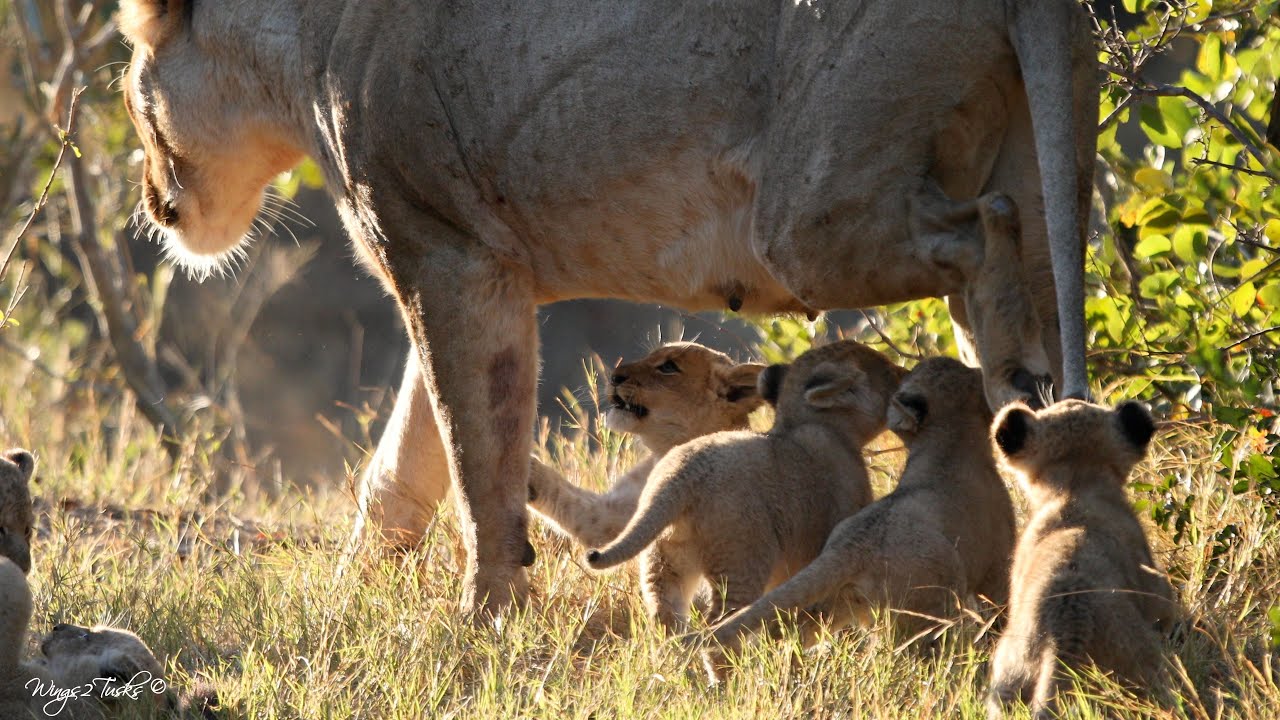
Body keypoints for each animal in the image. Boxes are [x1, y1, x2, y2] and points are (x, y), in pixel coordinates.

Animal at [584, 340, 904, 630]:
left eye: (668, 367)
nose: (614, 376)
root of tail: (684, 473)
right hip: (726, 561)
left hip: (667, 563)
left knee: (671, 622)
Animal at [701, 357, 1015, 680]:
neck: (948, 442)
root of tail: (853, 547)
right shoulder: (998, 559)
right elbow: (1000, 606)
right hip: (926, 618)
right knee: (906, 662)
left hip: (832, 603)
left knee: (788, 635)